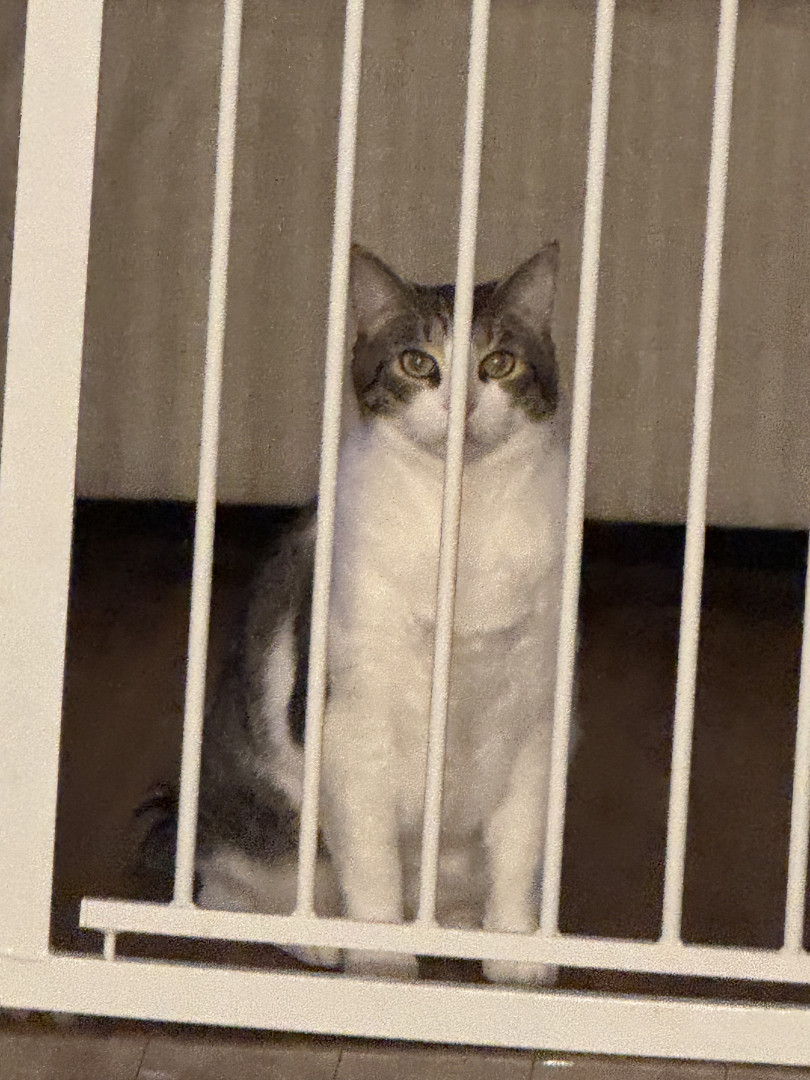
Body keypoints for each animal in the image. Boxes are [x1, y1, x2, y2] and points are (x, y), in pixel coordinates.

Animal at [138, 243, 568, 985]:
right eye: (417, 363)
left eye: (500, 363)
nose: (459, 403)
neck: (464, 525)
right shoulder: (350, 723)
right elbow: (371, 862)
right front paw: (379, 956)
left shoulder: (533, 724)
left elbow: (517, 854)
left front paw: (514, 951)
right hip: (264, 835)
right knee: (228, 892)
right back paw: (317, 938)